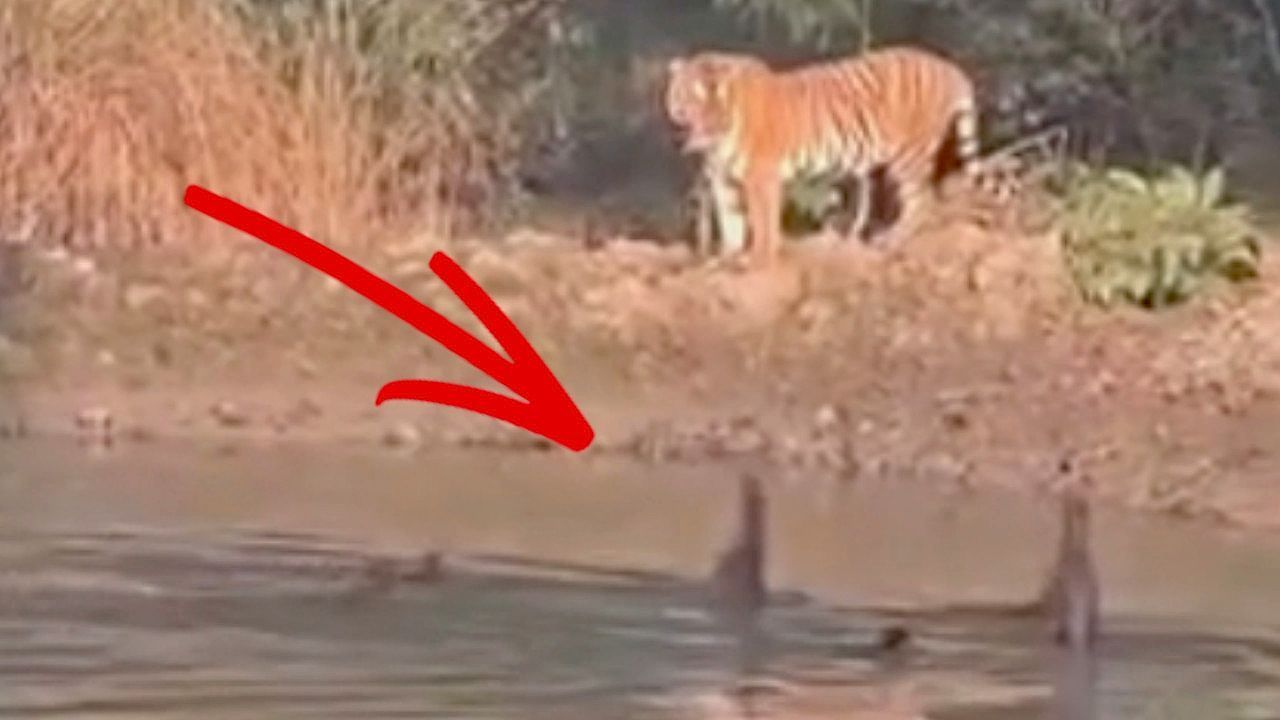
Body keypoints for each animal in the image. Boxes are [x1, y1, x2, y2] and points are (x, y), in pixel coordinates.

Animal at [665, 44, 1010, 266]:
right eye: (687, 99)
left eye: (716, 106)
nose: (700, 126)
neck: (717, 142)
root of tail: (949, 67)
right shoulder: (723, 180)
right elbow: (731, 223)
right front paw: (727, 258)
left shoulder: (761, 177)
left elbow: (762, 223)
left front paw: (759, 260)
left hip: (908, 155)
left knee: (923, 201)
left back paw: (890, 240)